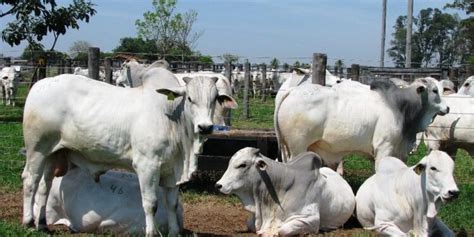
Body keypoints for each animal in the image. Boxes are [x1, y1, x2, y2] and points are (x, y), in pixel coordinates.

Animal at [274, 79, 448, 172]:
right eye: (434, 90)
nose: (447, 108)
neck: (401, 107)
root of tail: (292, 91)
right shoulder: (384, 148)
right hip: (297, 147)